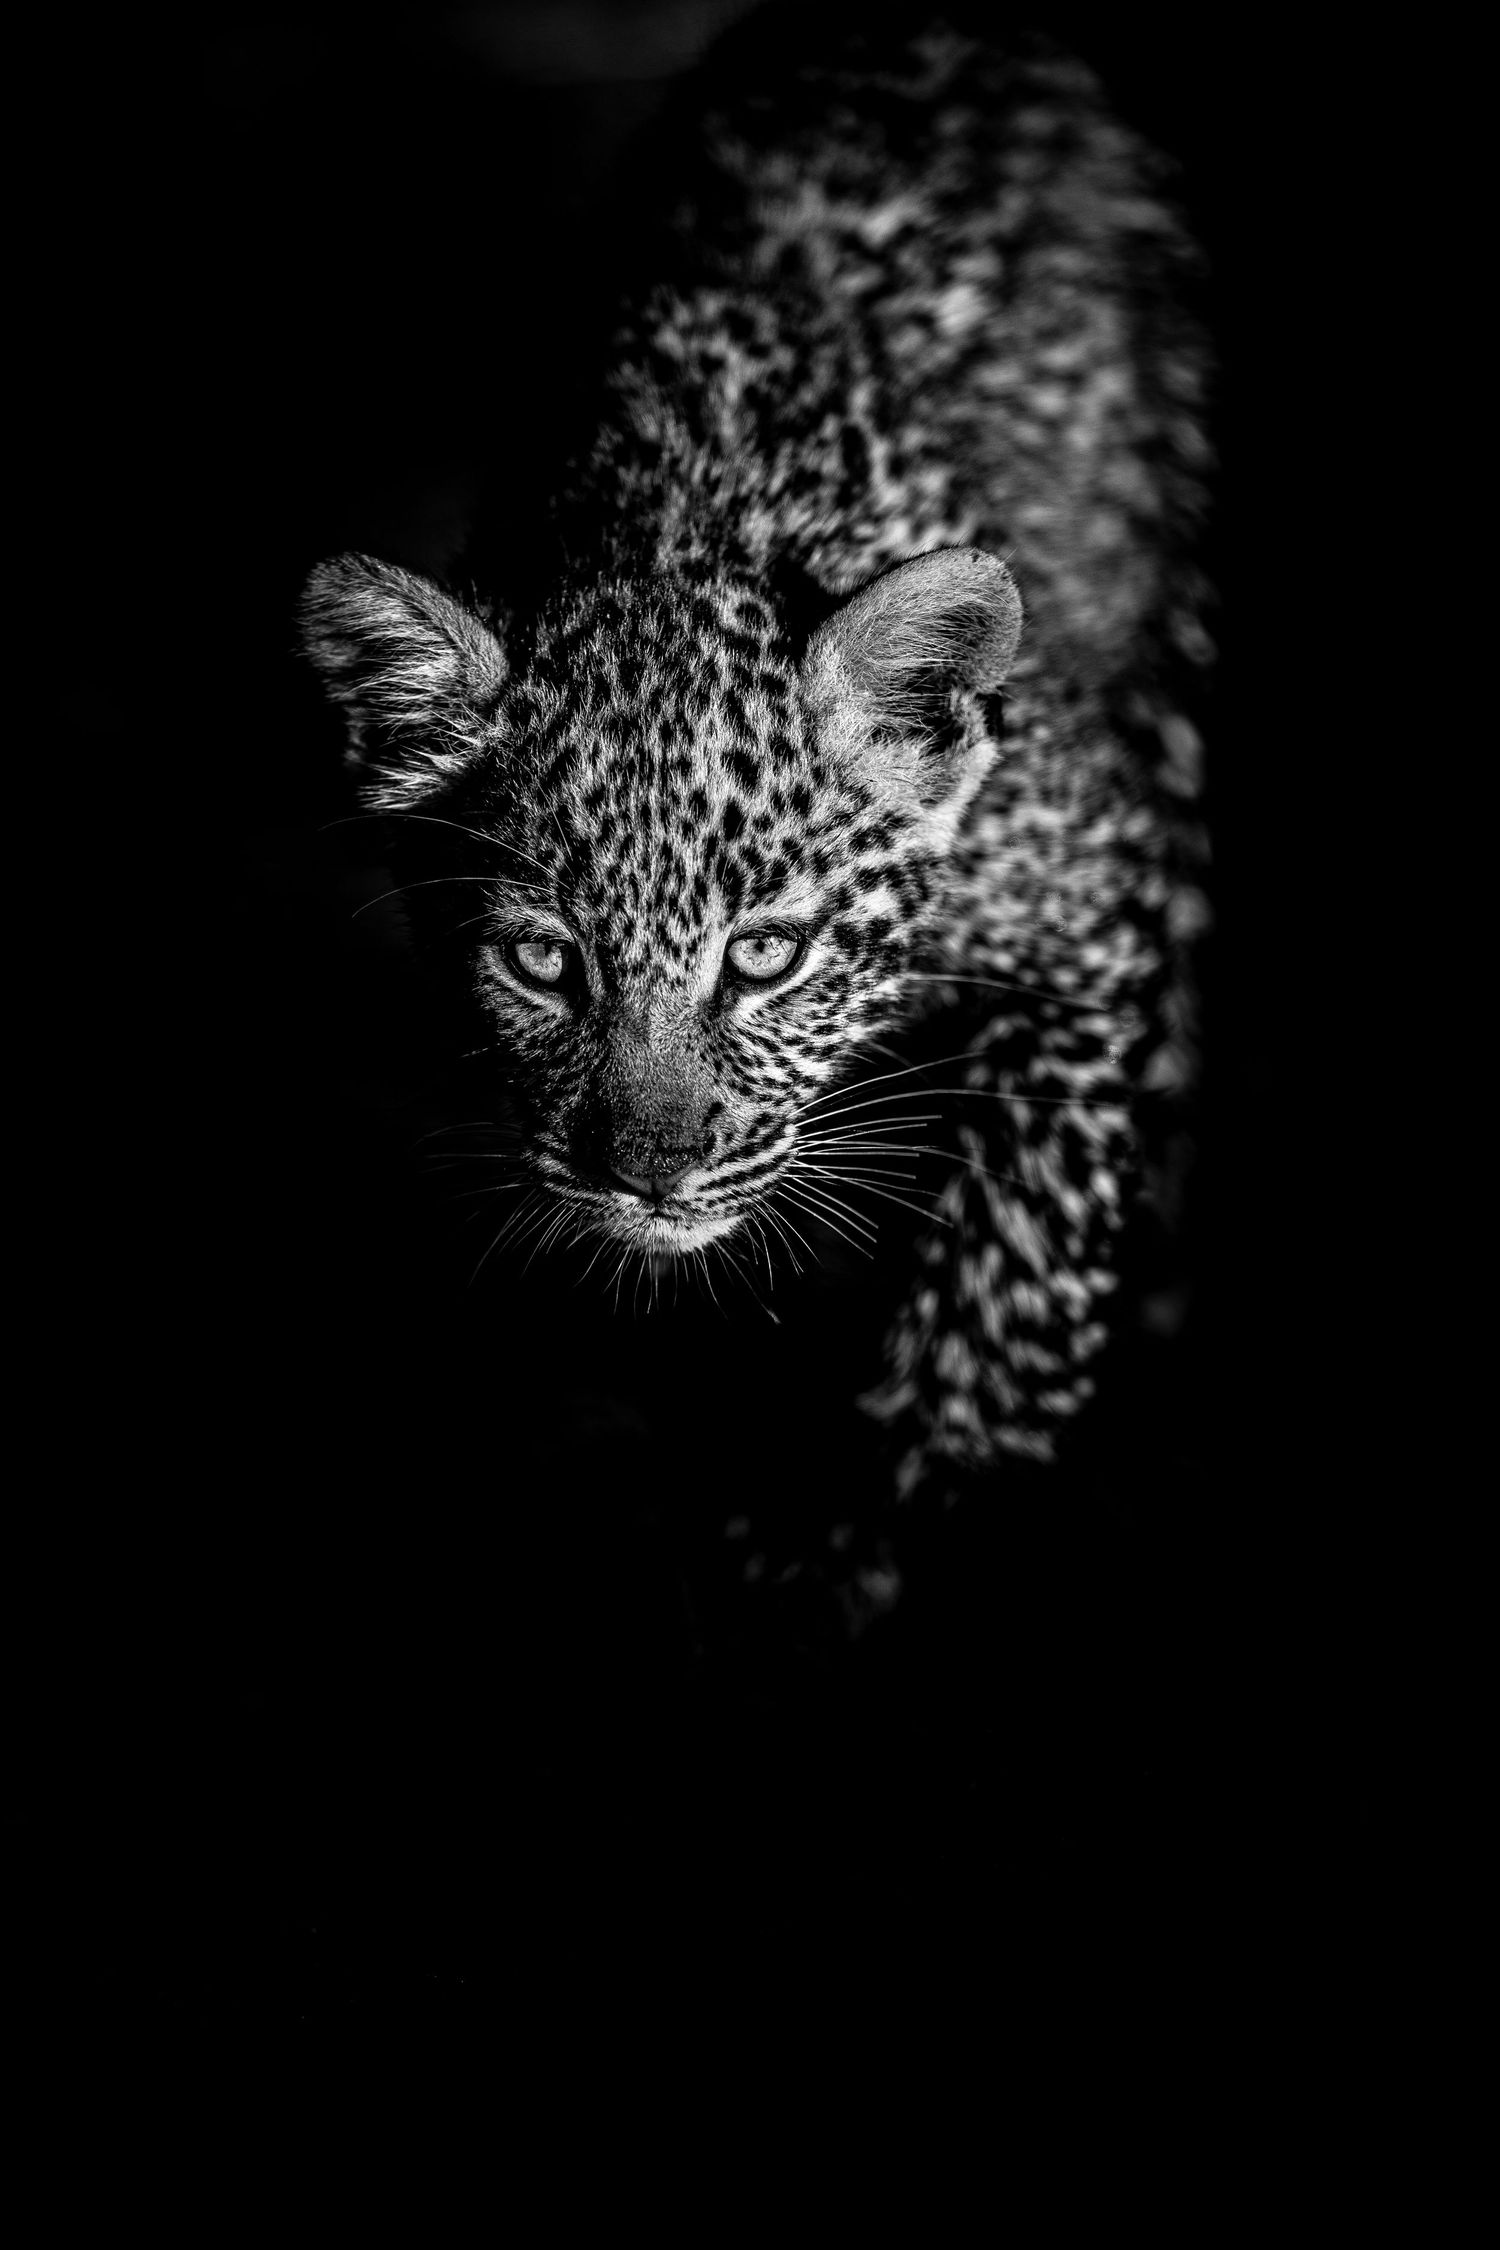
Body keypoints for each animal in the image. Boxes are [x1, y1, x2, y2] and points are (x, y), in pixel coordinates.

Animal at [300, 7, 1212, 1528]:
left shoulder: (1097, 911)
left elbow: (1020, 1266)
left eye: (769, 956)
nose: (651, 1181)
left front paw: (915, 1491)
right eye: (542, 963)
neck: (678, 513)